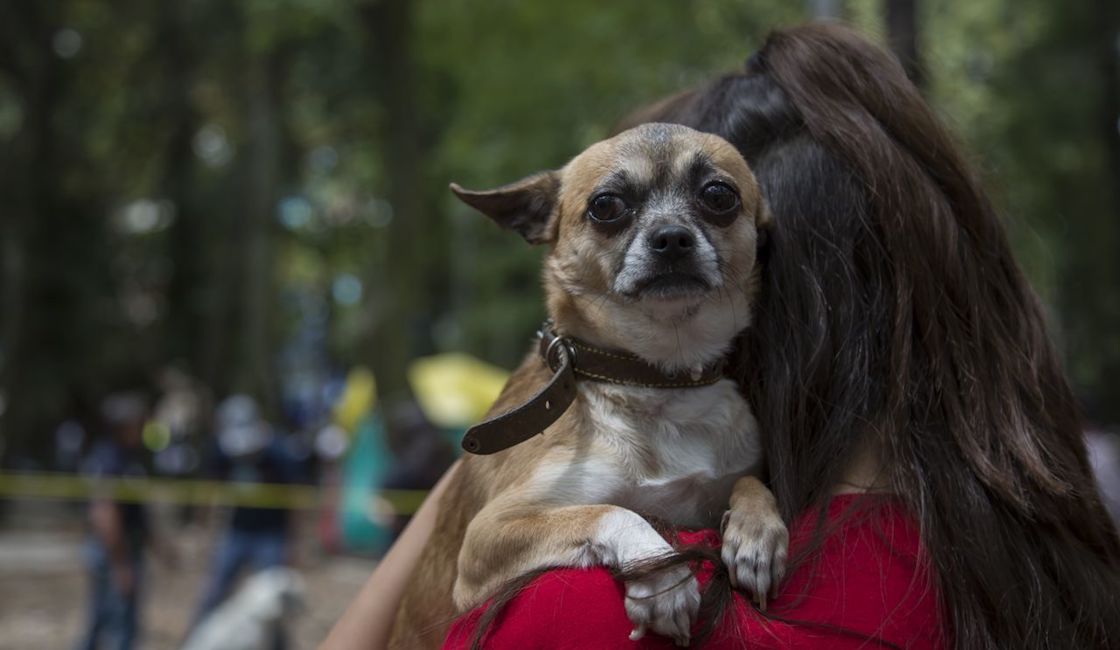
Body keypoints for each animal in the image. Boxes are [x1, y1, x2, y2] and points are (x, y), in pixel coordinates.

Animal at [394, 124, 788, 645]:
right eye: (606, 205)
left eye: (719, 195)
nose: (672, 237)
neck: (659, 380)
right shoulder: (488, 534)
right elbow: (613, 511)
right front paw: (663, 578)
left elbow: (751, 480)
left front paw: (757, 532)